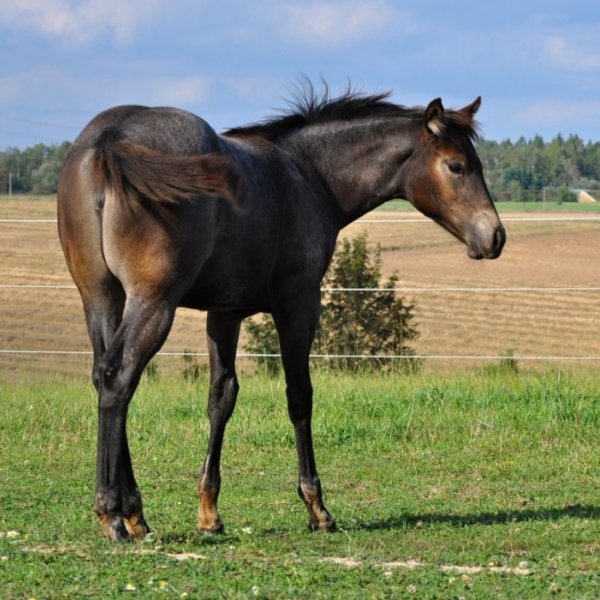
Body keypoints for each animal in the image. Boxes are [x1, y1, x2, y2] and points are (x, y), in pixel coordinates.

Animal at [57, 83, 506, 540]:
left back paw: (134, 512)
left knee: (103, 376)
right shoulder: (299, 303)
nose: (495, 235)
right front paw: (316, 506)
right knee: (118, 378)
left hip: (101, 295)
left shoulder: (224, 312)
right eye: (456, 166)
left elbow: (221, 396)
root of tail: (109, 141)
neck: (306, 177)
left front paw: (209, 512)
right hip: (153, 301)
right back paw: (112, 514)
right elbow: (299, 396)